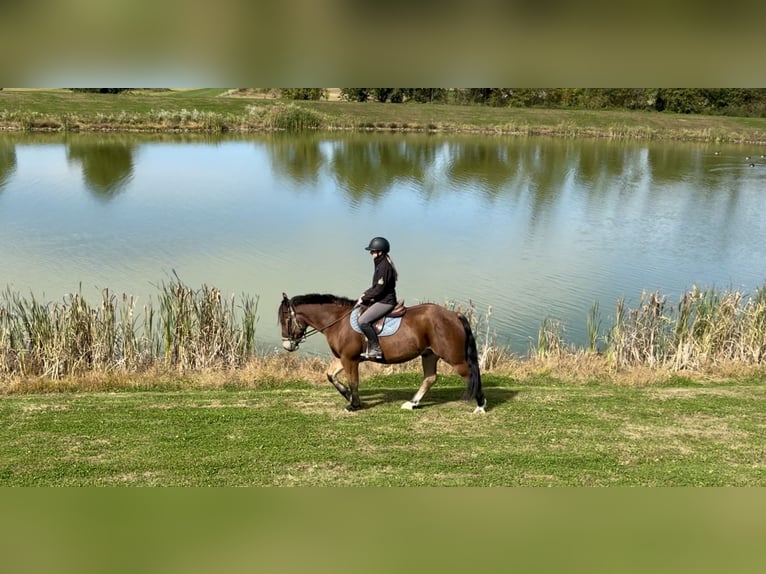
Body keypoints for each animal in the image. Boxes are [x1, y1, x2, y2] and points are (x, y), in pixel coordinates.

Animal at [278, 293, 487, 413]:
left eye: (284, 319)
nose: (287, 345)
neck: (338, 321)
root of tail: (454, 315)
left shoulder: (349, 359)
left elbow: (354, 381)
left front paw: (354, 405)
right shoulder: (341, 358)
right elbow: (330, 375)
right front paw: (347, 395)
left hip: (454, 358)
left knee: (471, 374)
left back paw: (481, 405)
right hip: (429, 354)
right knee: (430, 378)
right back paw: (412, 403)